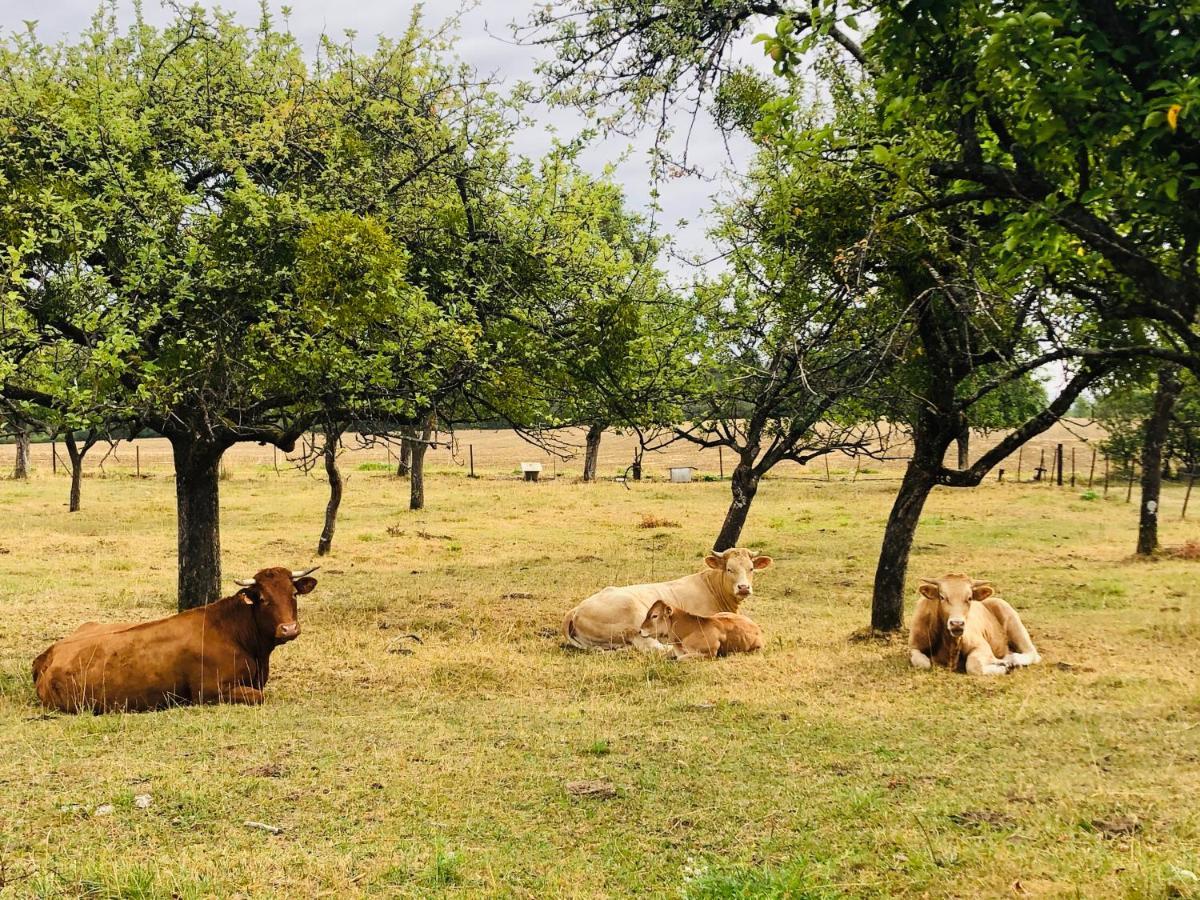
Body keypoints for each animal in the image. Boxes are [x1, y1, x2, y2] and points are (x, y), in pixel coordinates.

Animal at [32, 566, 316, 715]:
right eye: (263, 598)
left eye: (293, 594)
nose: (289, 629)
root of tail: (50, 653)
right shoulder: (210, 692)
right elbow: (258, 696)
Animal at [559, 547, 772, 652]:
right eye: (729, 569)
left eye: (751, 569)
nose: (743, 587)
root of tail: (576, 609)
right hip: (634, 618)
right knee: (651, 647)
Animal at [907, 578, 1041, 676]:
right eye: (942, 597)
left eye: (969, 598)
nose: (957, 623)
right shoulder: (914, 646)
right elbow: (923, 663)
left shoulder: (981, 645)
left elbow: (973, 664)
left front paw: (1005, 668)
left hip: (1012, 620)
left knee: (1033, 654)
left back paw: (1011, 661)